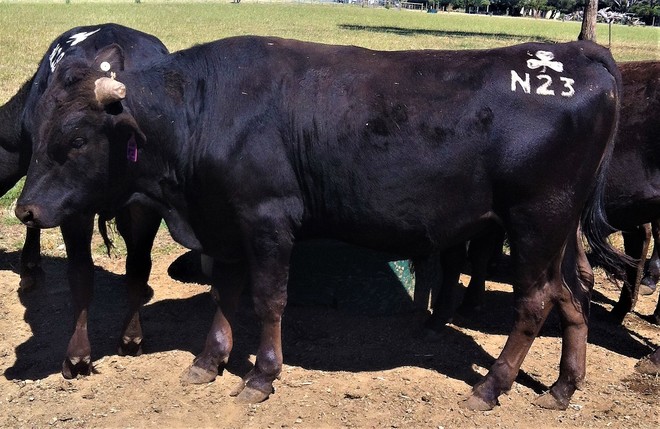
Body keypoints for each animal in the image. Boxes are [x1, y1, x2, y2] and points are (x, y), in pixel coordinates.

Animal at [15, 36, 623, 411]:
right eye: (35, 132)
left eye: (76, 140)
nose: (26, 211)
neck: (208, 108)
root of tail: (575, 53)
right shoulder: (225, 223)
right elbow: (225, 292)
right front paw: (208, 361)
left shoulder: (268, 218)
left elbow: (269, 299)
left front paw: (261, 376)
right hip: (556, 231)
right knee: (572, 293)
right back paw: (564, 386)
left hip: (535, 221)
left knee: (535, 301)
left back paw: (491, 387)